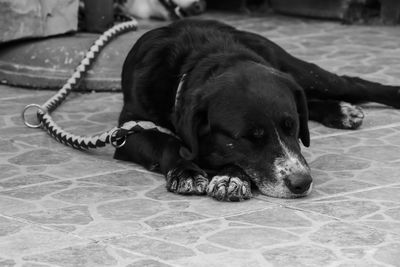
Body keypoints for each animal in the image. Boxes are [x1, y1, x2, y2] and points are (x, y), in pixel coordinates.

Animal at [113, 19, 400, 202]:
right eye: (249, 137)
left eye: (292, 127)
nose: (301, 183)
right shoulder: (128, 132)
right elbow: (169, 144)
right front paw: (189, 171)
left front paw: (231, 178)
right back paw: (340, 111)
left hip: (299, 70)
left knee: (352, 83)